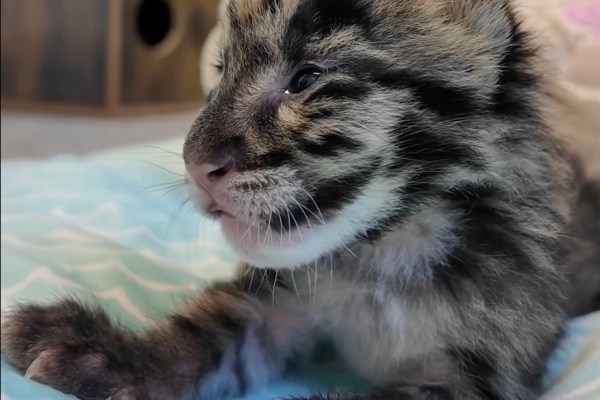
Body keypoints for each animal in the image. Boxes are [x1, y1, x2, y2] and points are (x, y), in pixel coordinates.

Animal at [2, 0, 596, 398]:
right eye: (221, 72)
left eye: (307, 78)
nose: (194, 163)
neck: (382, 253)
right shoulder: (278, 302)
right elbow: (207, 330)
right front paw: (107, 355)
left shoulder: (479, 371)